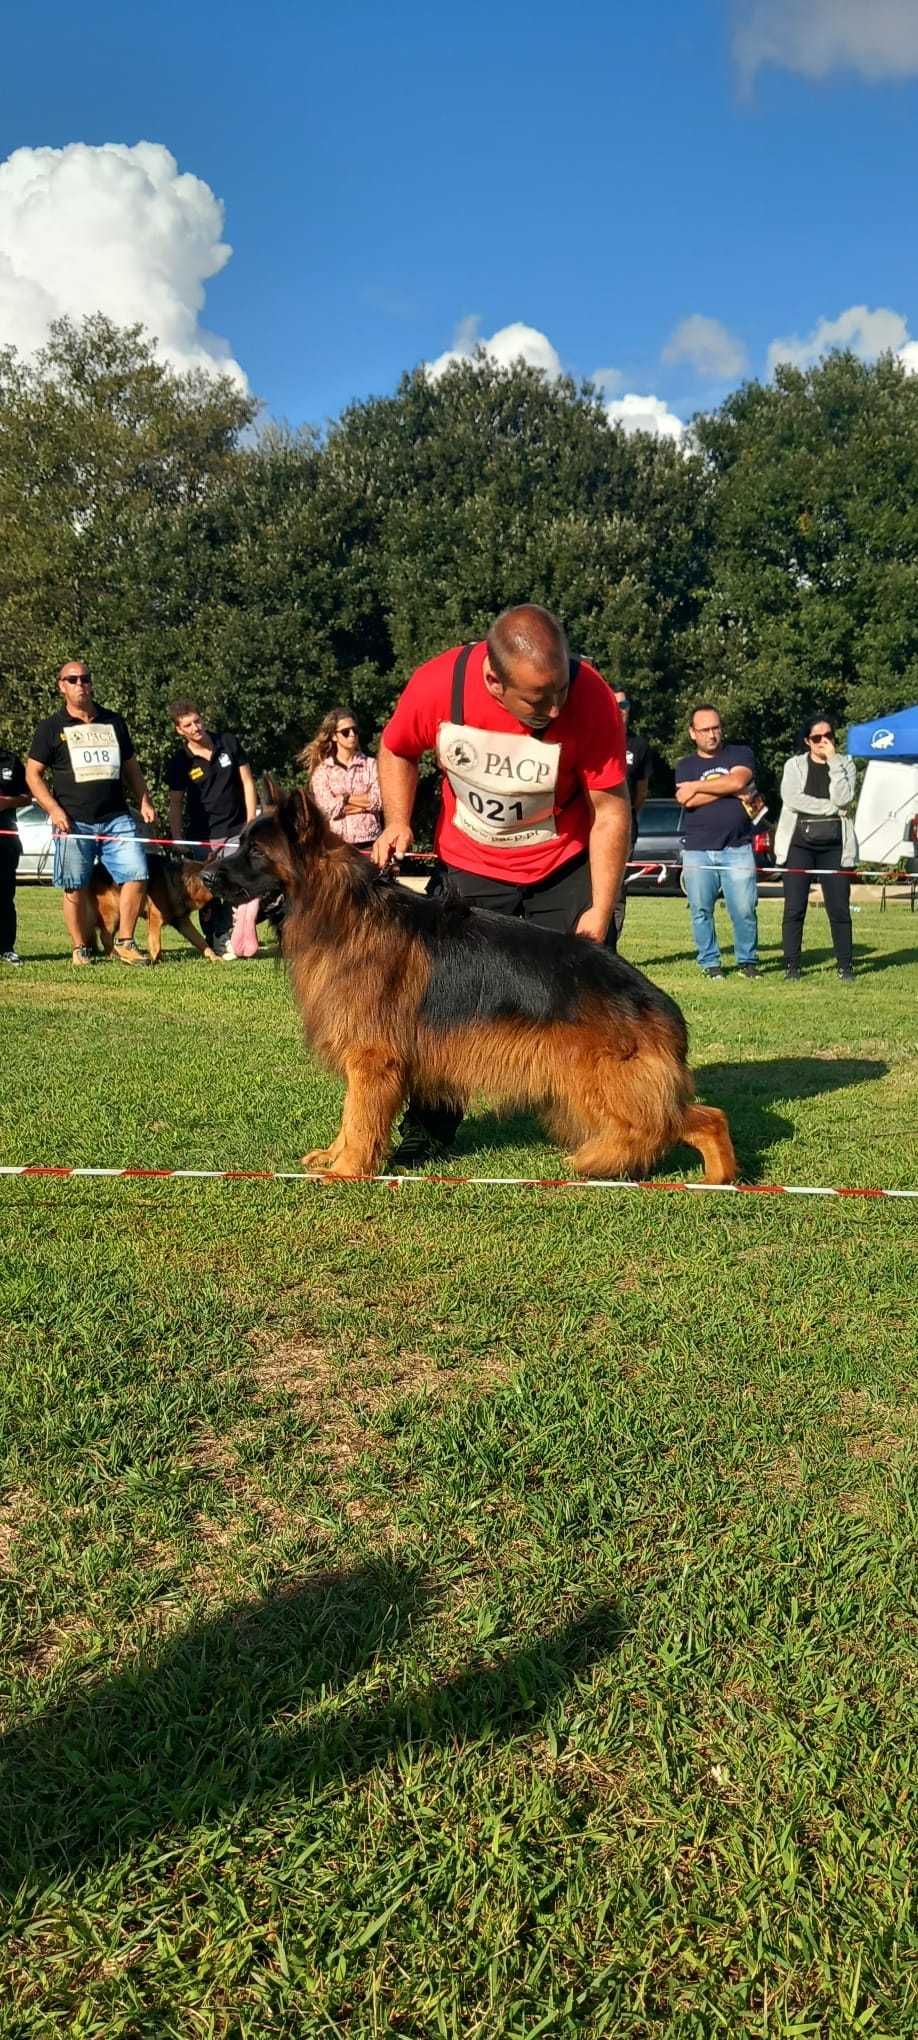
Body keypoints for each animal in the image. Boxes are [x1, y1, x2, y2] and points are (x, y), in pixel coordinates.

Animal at [202, 787, 738, 1191]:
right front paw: (335, 1157)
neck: (339, 910)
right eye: (238, 844)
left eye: (255, 852)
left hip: (597, 1084)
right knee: (694, 1117)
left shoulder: (372, 1061)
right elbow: (350, 1115)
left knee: (683, 1121)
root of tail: (656, 1001)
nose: (205, 876)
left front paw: (347, 1170)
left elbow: (359, 1117)